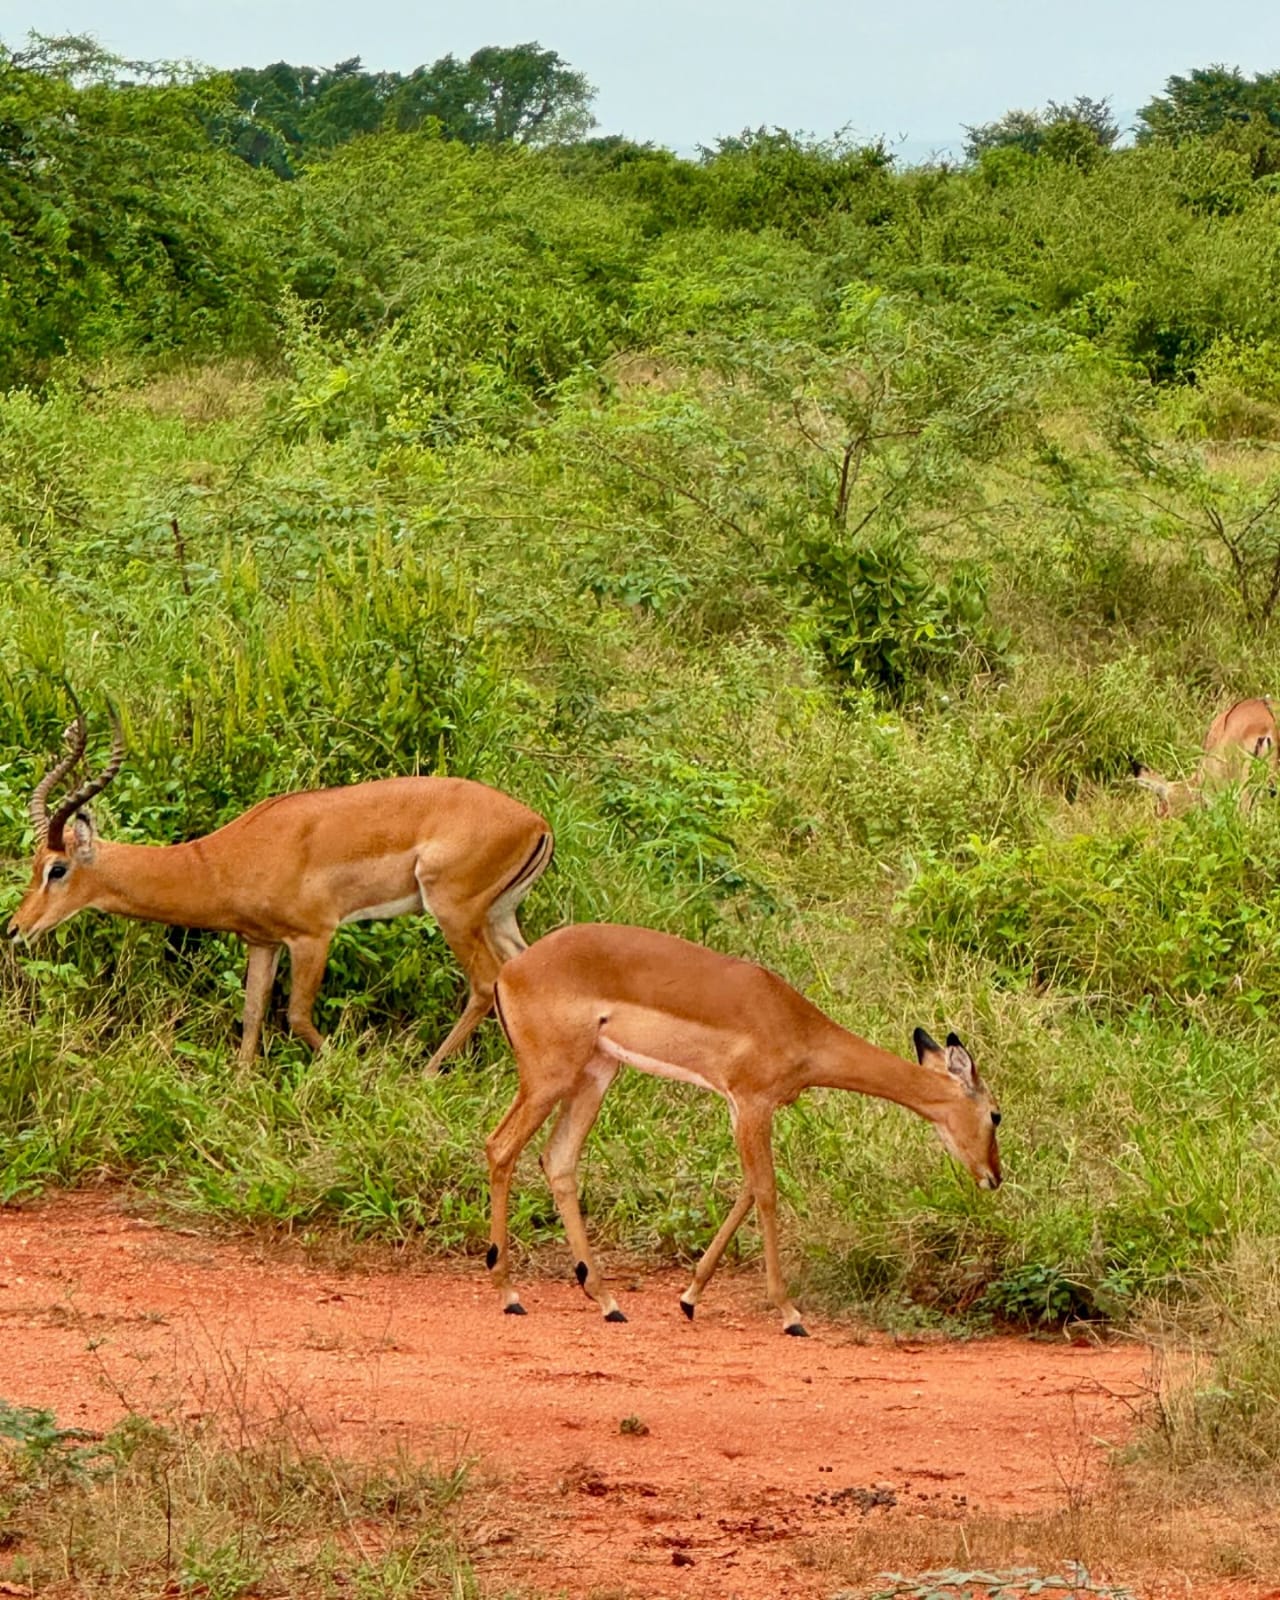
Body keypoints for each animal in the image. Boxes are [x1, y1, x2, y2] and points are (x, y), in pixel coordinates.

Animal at [8, 708, 553, 1072]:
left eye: (57, 869)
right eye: (33, 864)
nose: (14, 928)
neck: (223, 860)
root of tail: (536, 823)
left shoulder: (313, 937)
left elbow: (295, 1015)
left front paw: (352, 1073)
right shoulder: (262, 942)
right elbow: (252, 1016)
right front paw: (239, 1087)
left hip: (454, 913)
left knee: (485, 982)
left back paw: (425, 1073)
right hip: (498, 916)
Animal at [485, 923, 1001, 1336]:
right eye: (996, 1114)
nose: (994, 1176)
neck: (796, 1027)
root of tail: (507, 973)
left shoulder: (742, 1109)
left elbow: (748, 1189)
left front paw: (689, 1298)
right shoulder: (753, 1104)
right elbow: (767, 1192)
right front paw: (790, 1314)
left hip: (596, 1073)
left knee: (558, 1160)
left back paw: (608, 1302)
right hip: (548, 1079)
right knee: (499, 1147)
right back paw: (510, 1295)